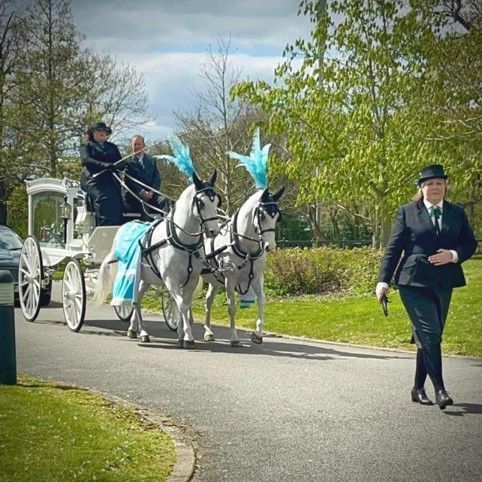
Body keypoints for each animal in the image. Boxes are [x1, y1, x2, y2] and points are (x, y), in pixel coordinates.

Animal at [96, 171, 220, 348]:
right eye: (201, 203)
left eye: (216, 201)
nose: (214, 231)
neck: (183, 243)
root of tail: (125, 226)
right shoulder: (170, 279)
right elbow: (181, 305)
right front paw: (188, 337)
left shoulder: (192, 279)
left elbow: (183, 304)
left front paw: (181, 334)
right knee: (135, 302)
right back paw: (143, 333)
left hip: (144, 279)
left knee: (137, 300)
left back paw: (134, 329)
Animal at [201, 185, 284, 346]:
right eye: (262, 216)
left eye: (278, 217)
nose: (270, 246)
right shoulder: (230, 280)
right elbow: (232, 307)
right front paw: (234, 337)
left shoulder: (257, 277)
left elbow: (261, 300)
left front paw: (258, 334)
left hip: (214, 281)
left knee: (208, 301)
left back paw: (208, 332)